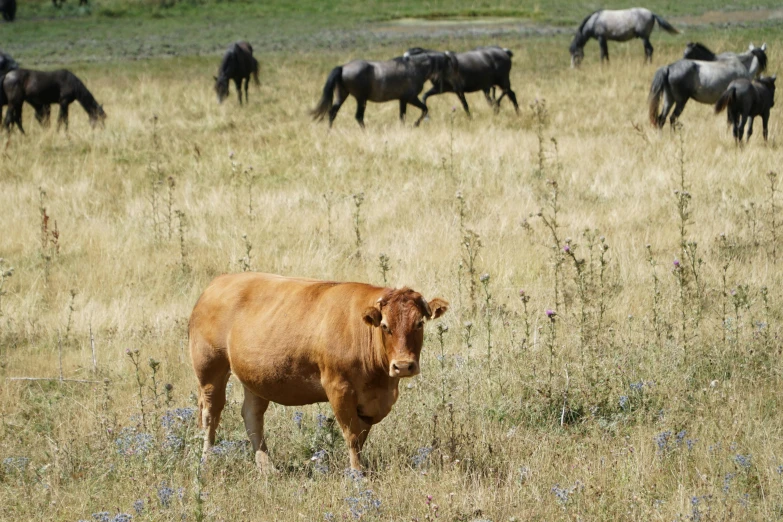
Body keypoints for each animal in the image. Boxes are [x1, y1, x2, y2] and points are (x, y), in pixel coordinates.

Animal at [187, 272, 450, 472]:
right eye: (385, 326)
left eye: (419, 323)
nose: (403, 365)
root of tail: (218, 283)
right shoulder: (338, 388)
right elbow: (352, 435)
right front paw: (357, 473)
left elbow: (361, 435)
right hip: (210, 369)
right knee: (211, 415)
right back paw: (206, 461)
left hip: (254, 376)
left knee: (252, 415)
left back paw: (266, 468)